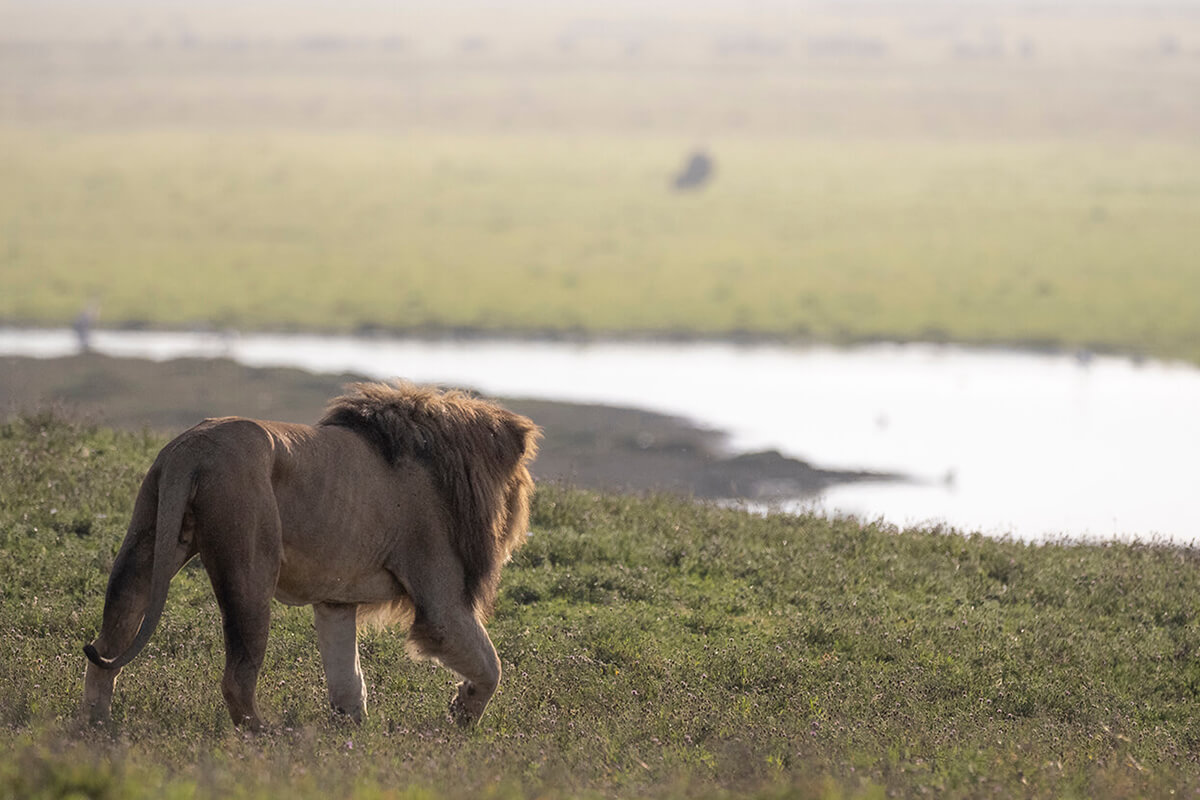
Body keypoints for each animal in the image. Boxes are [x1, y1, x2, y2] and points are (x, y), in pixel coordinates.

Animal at [82, 381, 540, 730]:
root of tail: (192, 449)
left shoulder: (336, 600)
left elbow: (347, 679)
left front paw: (353, 735)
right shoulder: (440, 600)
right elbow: (491, 665)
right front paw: (462, 716)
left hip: (142, 547)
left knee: (106, 649)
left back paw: (96, 727)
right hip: (250, 570)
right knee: (237, 678)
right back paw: (264, 735)